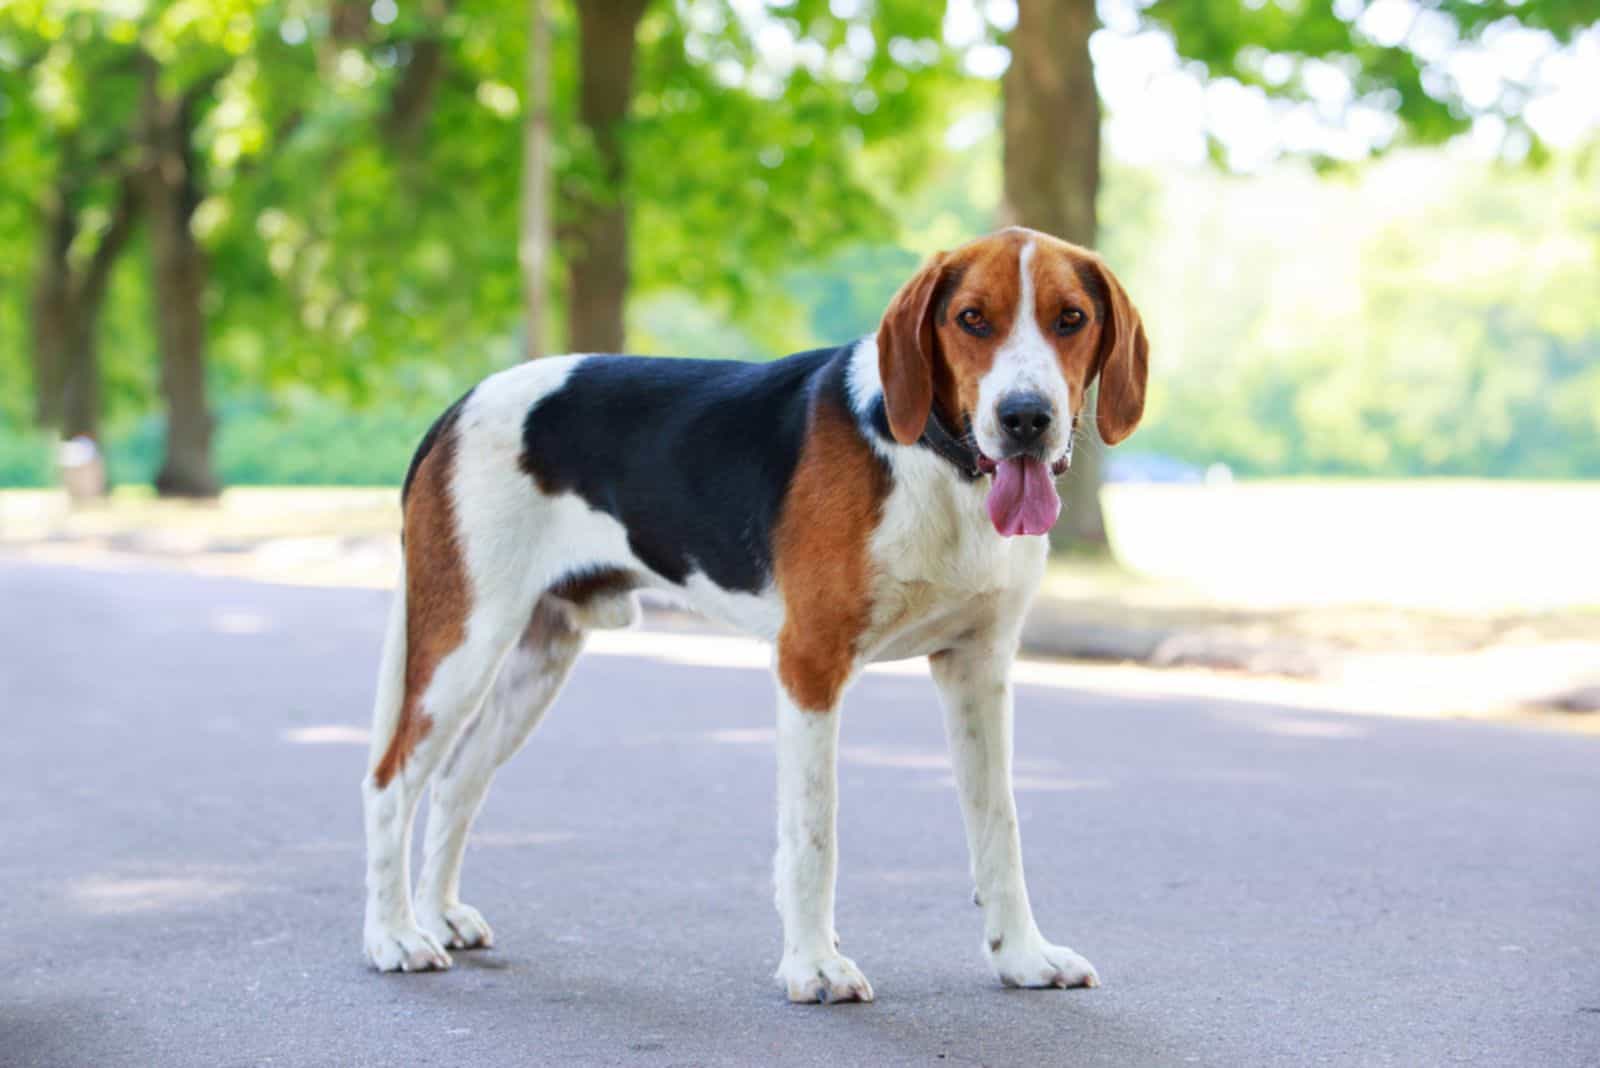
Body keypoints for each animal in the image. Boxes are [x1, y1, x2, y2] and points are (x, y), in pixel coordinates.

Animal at [358, 225, 1145, 1004]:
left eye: (1071, 318)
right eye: (972, 319)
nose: (1025, 418)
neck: (939, 466)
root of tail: (460, 404)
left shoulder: (978, 670)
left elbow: (999, 830)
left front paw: (1022, 956)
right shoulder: (810, 664)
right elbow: (813, 833)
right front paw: (814, 966)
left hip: (536, 660)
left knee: (456, 782)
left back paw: (440, 915)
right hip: (462, 646)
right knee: (390, 782)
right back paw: (394, 936)